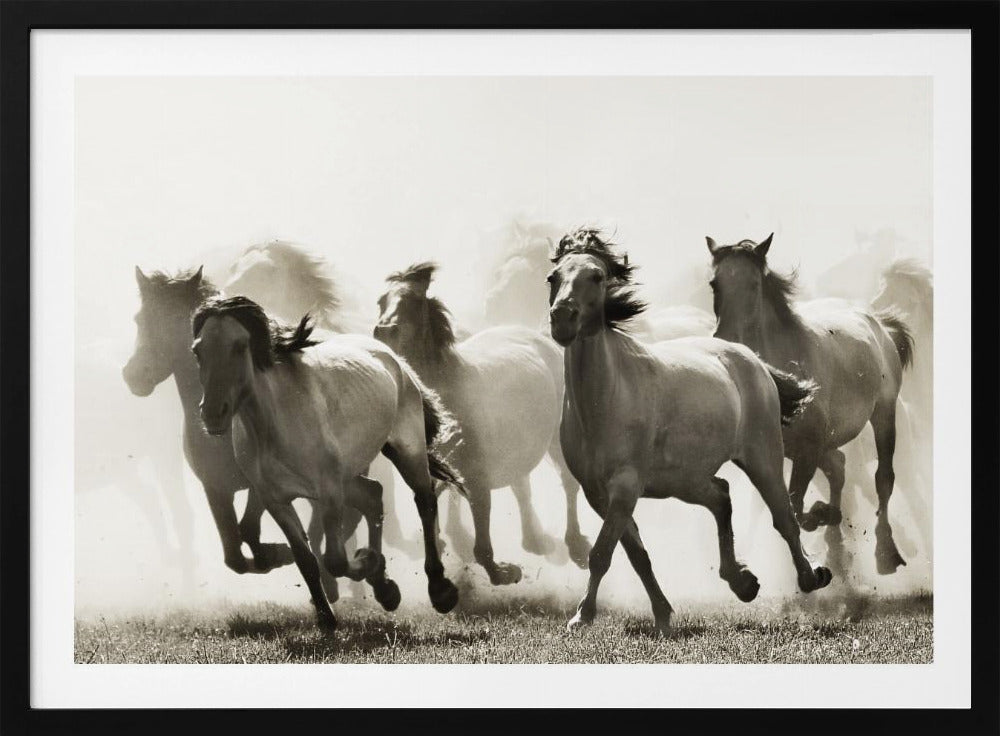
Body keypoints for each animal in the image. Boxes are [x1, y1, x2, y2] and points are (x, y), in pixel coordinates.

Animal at [191, 296, 463, 628]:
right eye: (198, 350)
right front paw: (326, 617)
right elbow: (305, 559)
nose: (212, 413)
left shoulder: (329, 490)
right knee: (373, 495)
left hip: (406, 450)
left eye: (240, 346)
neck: (275, 424)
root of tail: (393, 359)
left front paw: (366, 561)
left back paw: (440, 590)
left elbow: (333, 559)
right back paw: (385, 590)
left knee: (424, 501)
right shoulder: (275, 499)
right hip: (349, 475)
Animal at [374, 262, 593, 585]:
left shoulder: (477, 478)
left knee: (568, 484)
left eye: (413, 302)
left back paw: (576, 546)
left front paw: (503, 572)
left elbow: (481, 544)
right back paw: (535, 540)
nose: (383, 332)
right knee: (521, 486)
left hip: (555, 438)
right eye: (381, 301)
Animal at [547, 229, 830, 635]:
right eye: (552, 278)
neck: (606, 400)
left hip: (762, 458)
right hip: (685, 480)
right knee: (722, 496)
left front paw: (581, 616)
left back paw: (811, 577)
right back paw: (742, 582)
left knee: (785, 518)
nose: (562, 319)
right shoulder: (598, 494)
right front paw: (663, 615)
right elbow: (637, 555)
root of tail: (752, 358)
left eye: (597, 277)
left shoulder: (625, 487)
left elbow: (601, 553)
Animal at [706, 233, 914, 577]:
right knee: (839, 467)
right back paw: (834, 541)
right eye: (714, 283)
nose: (726, 339)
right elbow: (793, 506)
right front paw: (826, 519)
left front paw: (821, 516)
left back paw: (886, 554)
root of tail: (880, 324)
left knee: (883, 478)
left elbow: (796, 506)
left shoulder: (808, 448)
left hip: (884, 414)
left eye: (753, 284)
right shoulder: (781, 452)